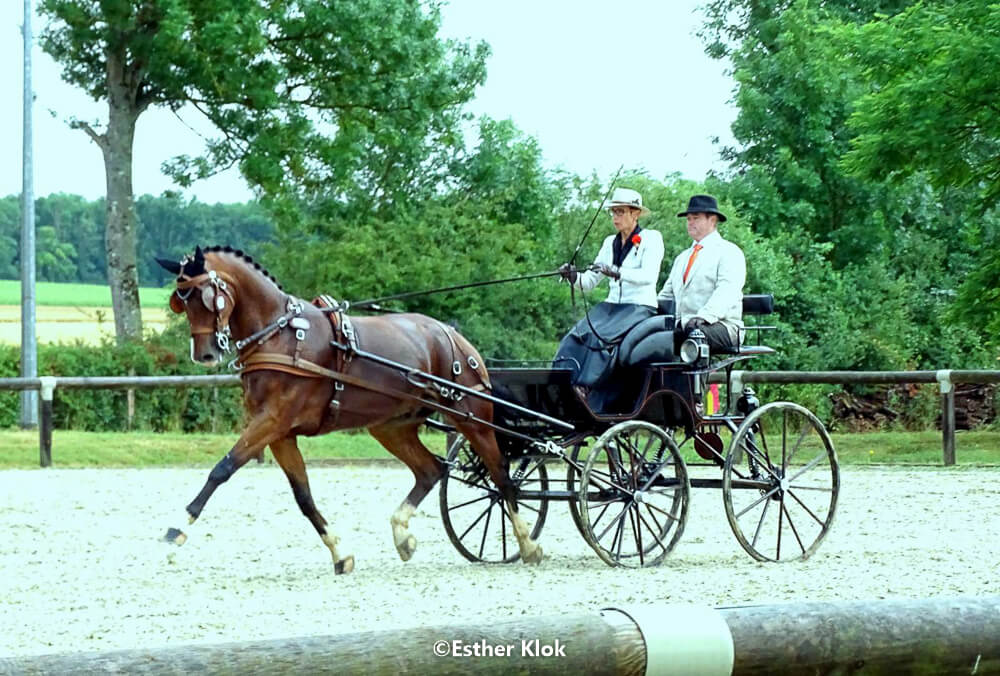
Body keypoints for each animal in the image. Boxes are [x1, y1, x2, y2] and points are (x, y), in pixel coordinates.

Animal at [153, 246, 544, 572]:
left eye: (206, 297)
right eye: (180, 302)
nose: (204, 354)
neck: (280, 337)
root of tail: (452, 335)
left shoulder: (272, 421)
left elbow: (223, 468)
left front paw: (177, 529)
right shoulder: (280, 434)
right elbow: (303, 497)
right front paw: (340, 553)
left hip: (472, 416)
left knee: (501, 476)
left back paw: (528, 544)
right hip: (391, 426)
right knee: (431, 470)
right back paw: (402, 535)